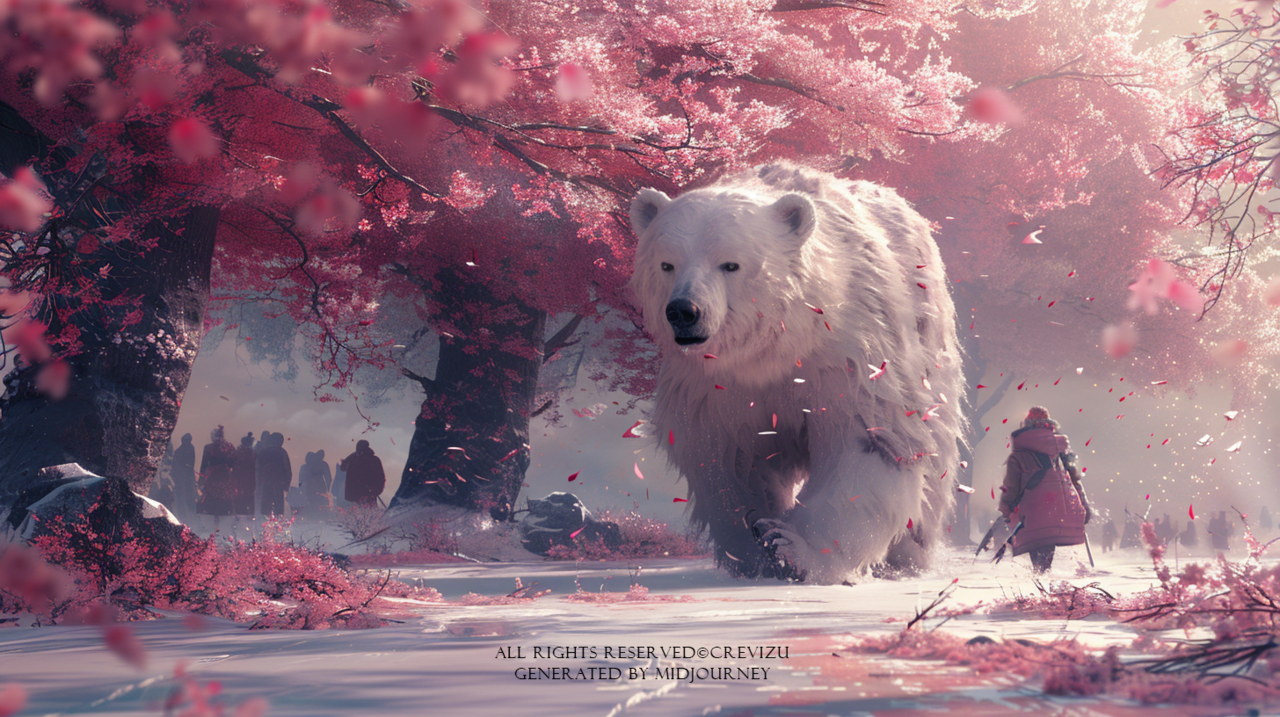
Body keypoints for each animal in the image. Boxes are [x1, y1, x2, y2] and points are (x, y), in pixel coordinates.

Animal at [629, 162, 965, 584]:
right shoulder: (718, 389)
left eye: (730, 264)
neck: (779, 347)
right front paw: (755, 547)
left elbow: (868, 440)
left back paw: (908, 557)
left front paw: (793, 548)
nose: (684, 311)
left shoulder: (850, 354)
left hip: (928, 332)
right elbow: (732, 459)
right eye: (667, 263)